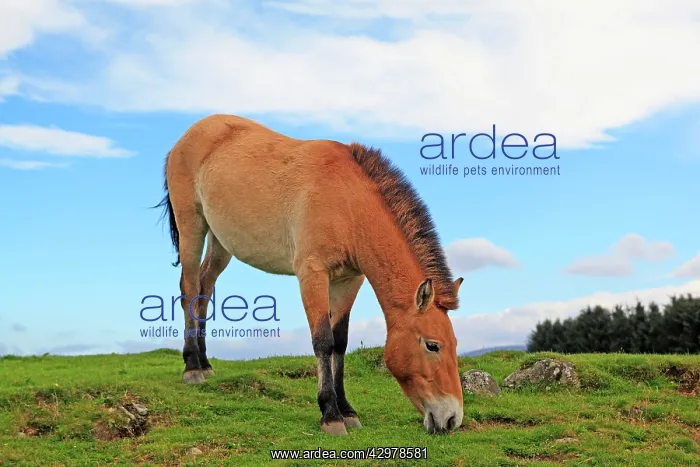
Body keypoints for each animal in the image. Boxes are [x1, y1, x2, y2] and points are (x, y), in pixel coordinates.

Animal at [156, 114, 465, 435]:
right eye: (432, 345)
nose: (452, 419)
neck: (347, 203)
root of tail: (189, 135)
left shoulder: (349, 280)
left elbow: (339, 342)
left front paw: (347, 410)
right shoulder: (312, 274)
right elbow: (323, 340)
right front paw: (330, 414)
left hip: (220, 241)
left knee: (205, 288)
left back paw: (205, 363)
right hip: (192, 225)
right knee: (190, 289)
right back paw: (192, 367)